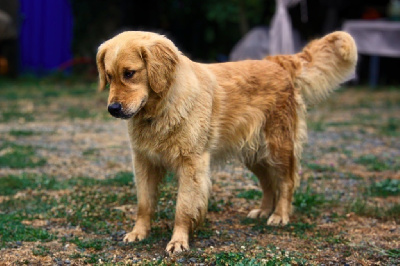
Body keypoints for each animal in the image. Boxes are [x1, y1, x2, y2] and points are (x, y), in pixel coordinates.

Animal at [96, 30, 356, 255]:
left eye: (130, 73)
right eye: (108, 76)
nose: (113, 109)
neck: (160, 109)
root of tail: (276, 62)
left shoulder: (192, 164)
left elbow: (183, 207)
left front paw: (178, 240)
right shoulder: (144, 162)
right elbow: (144, 204)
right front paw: (138, 233)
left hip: (278, 148)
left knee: (286, 182)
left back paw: (280, 215)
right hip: (255, 156)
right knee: (268, 184)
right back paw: (263, 210)